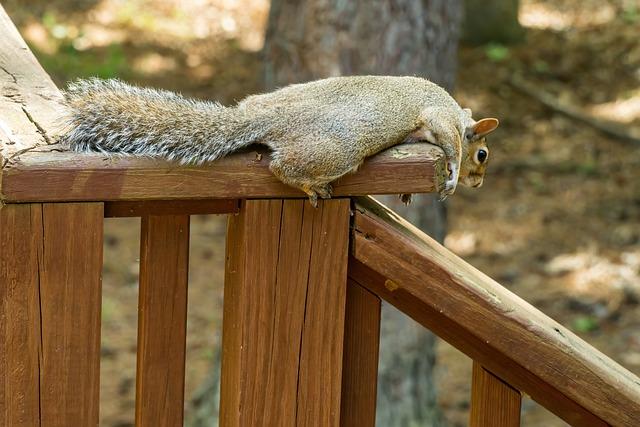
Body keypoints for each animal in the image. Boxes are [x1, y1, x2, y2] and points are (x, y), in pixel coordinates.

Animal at [61, 75, 500, 206]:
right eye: (482, 154)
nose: (479, 184)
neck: (458, 112)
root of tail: (263, 117)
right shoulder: (439, 115)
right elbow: (448, 145)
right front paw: (452, 177)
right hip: (339, 150)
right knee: (281, 167)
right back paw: (310, 186)